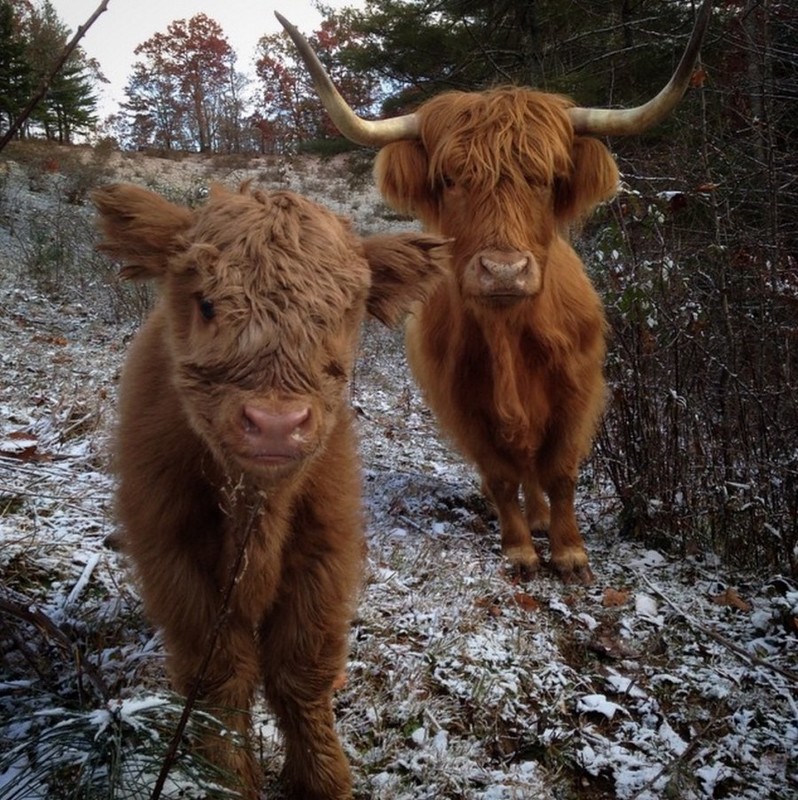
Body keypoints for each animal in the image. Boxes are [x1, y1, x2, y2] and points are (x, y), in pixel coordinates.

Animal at [94, 183, 450, 800]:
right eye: (207, 303)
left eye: (340, 312)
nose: (277, 424)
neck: (255, 510)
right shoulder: (171, 552)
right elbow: (218, 677)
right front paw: (226, 776)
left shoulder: (325, 551)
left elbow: (300, 671)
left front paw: (324, 779)